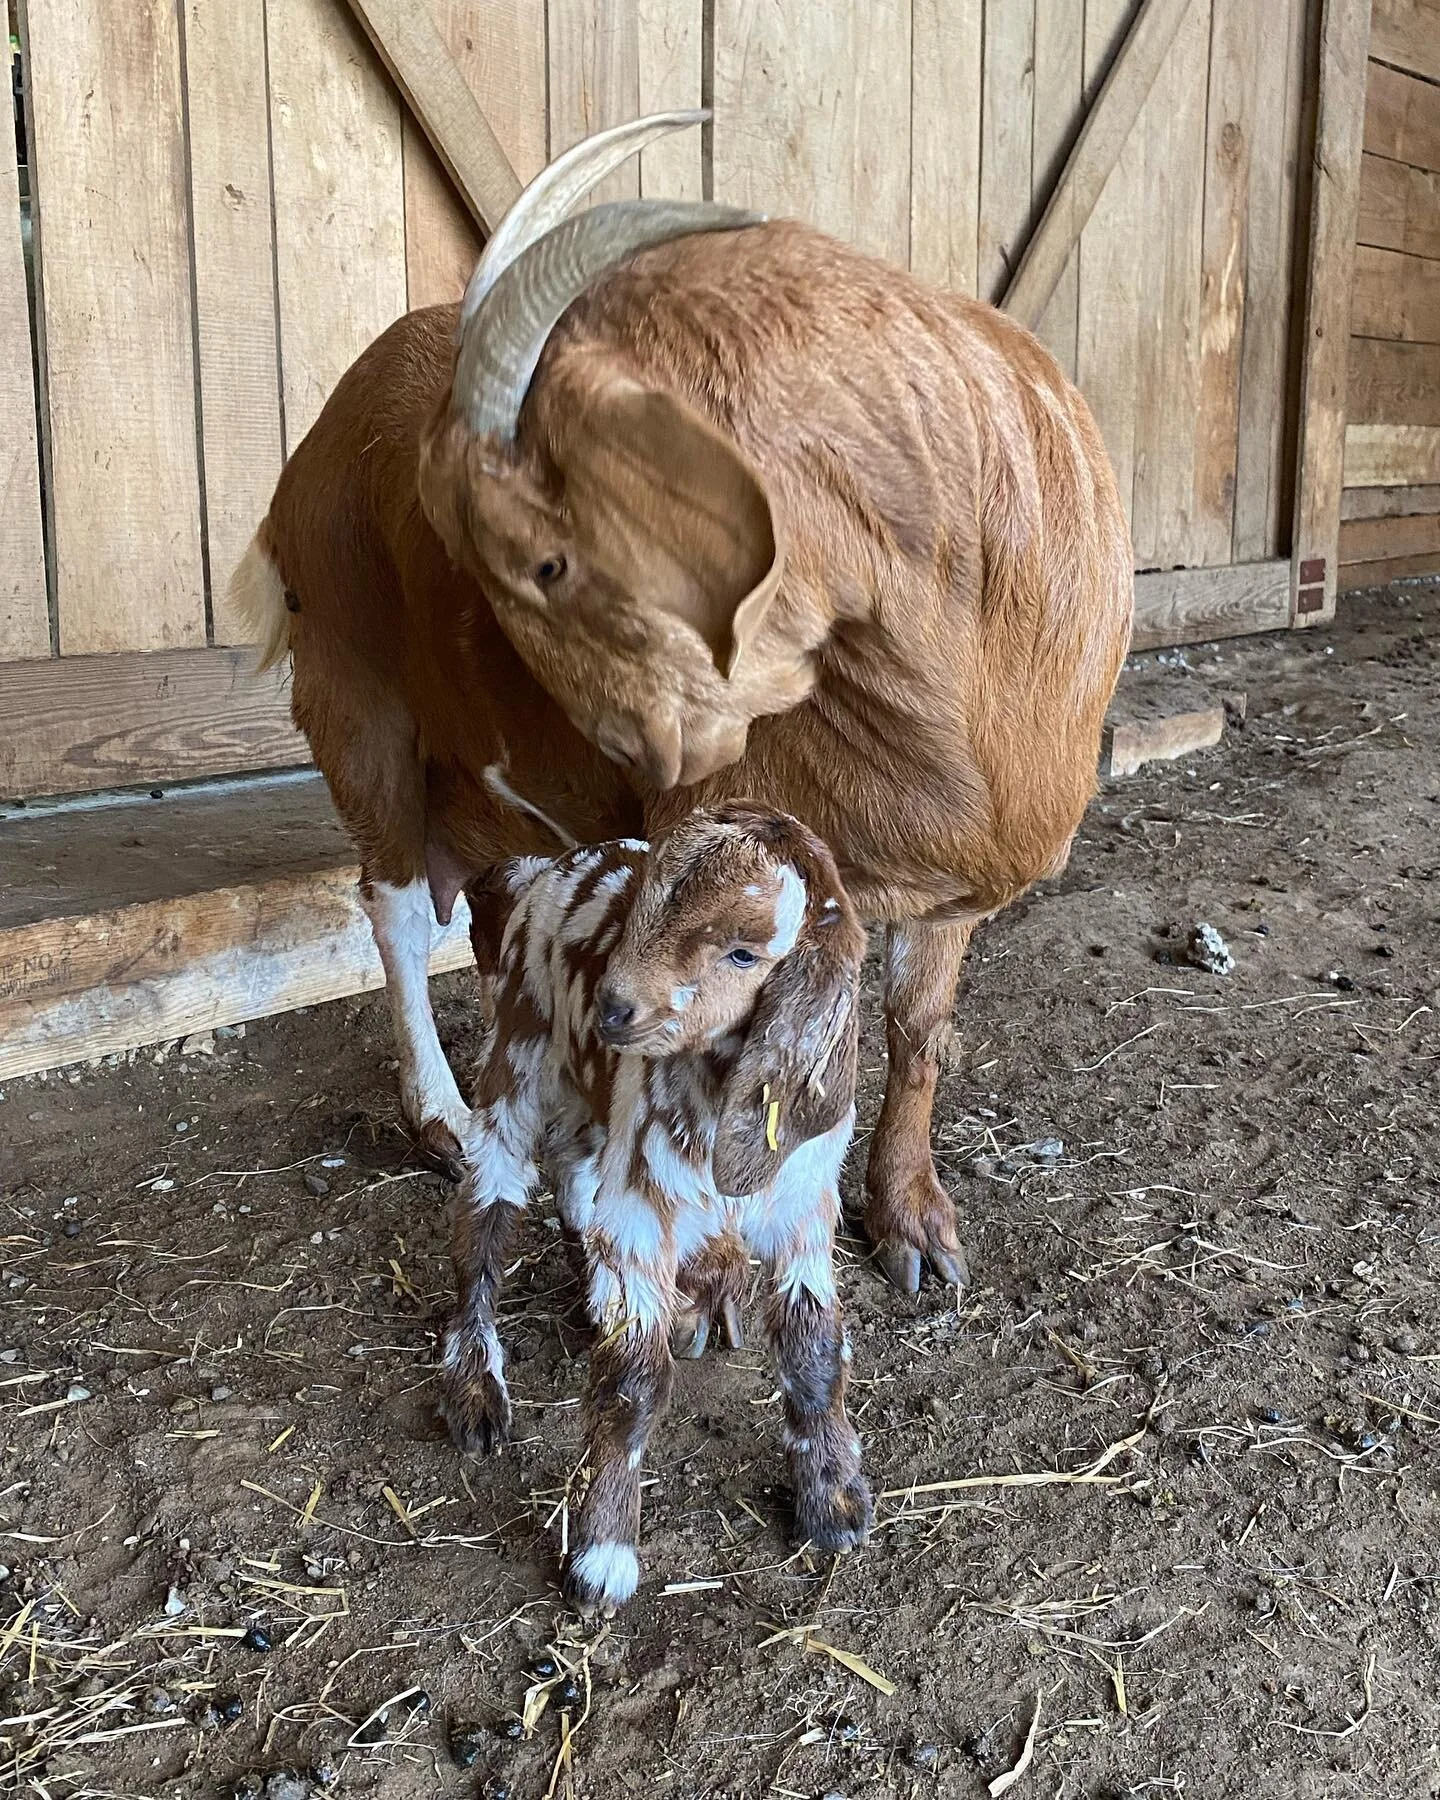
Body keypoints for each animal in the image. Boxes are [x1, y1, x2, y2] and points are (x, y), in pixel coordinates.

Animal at [235, 110, 1134, 1303]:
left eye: (547, 562)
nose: (651, 753)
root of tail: (310, 452)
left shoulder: (942, 890)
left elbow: (918, 1028)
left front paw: (913, 1224)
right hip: (356, 696)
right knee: (394, 908)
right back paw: (441, 1117)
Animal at [439, 803, 871, 1616]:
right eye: (644, 907)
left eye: (743, 953)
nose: (615, 1008)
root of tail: (543, 870)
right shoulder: (643, 1206)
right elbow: (634, 1382)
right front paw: (602, 1554)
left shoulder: (803, 1203)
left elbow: (813, 1348)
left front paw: (832, 1497)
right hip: (518, 1045)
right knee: (487, 1211)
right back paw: (476, 1385)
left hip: (591, 1098)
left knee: (575, 1172)